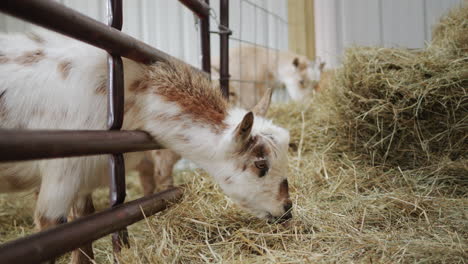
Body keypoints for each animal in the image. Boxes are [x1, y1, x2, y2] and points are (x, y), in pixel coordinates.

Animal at [0, 30, 292, 262]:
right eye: (261, 164)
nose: (287, 210)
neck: (129, 92)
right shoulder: (61, 174)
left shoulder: (82, 180)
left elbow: (83, 235)